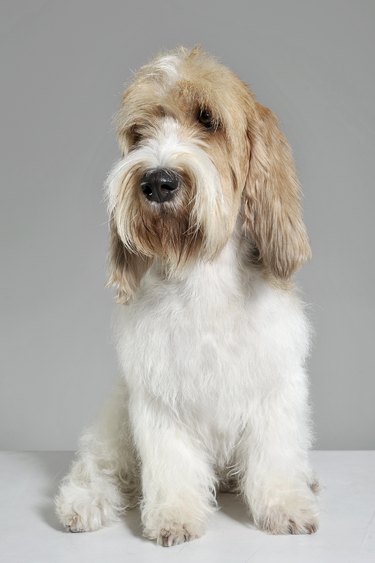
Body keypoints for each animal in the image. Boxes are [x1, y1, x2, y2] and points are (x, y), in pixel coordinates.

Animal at [55, 47, 320, 548]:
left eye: (207, 119)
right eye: (139, 133)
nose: (157, 182)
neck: (203, 273)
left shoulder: (275, 384)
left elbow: (275, 453)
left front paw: (286, 505)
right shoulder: (158, 397)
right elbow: (170, 464)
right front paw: (175, 516)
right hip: (116, 420)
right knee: (100, 466)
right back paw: (83, 502)